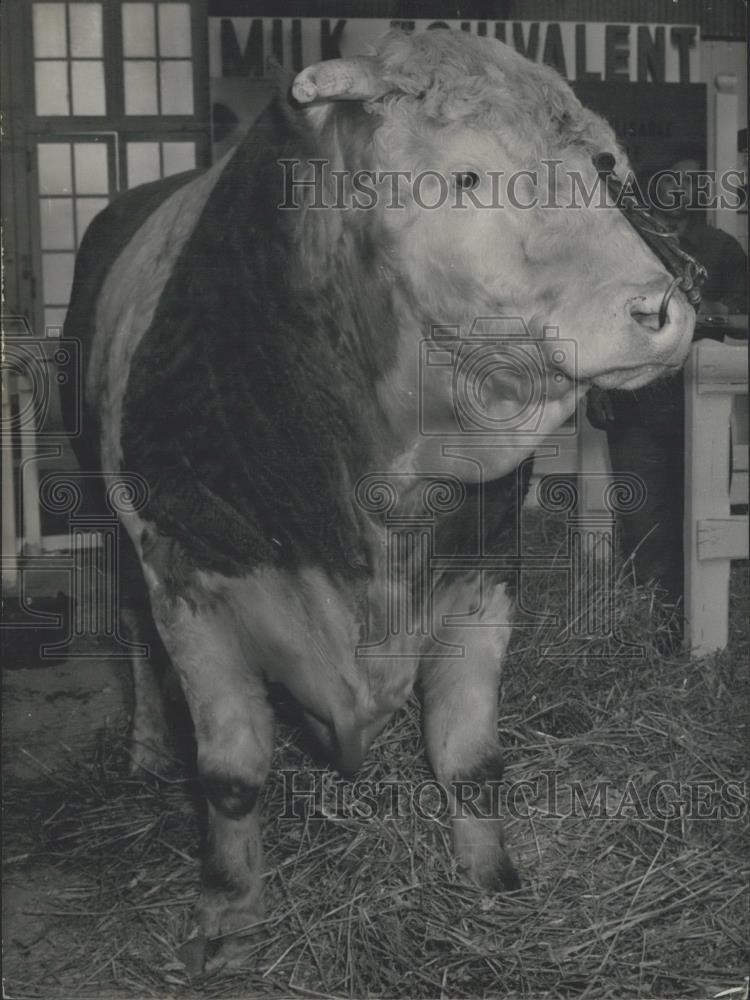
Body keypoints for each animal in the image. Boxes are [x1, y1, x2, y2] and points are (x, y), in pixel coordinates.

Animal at [61, 29, 696, 968]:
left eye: (603, 167)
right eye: (466, 176)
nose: (658, 307)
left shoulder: (483, 571)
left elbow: (470, 756)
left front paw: (491, 879)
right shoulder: (188, 576)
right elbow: (232, 771)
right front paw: (228, 911)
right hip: (114, 530)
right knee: (135, 643)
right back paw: (145, 749)